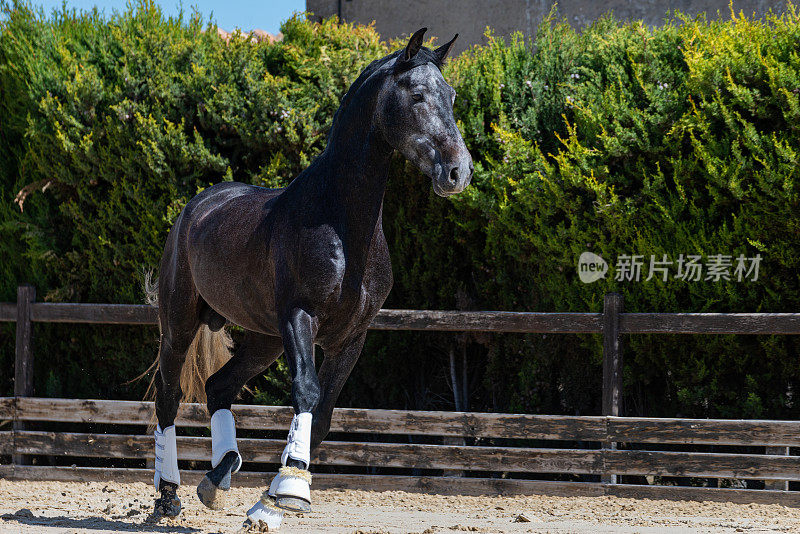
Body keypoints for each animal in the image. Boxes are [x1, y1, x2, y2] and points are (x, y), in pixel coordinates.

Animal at [147, 27, 472, 528]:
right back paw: (167, 497)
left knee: (219, 386)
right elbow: (306, 390)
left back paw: (218, 477)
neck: (342, 227)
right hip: (181, 322)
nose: (458, 171)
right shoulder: (300, 317)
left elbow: (322, 413)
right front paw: (292, 491)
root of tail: (195, 209)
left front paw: (271, 503)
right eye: (417, 95)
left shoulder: (350, 338)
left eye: (452, 96)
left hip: (264, 338)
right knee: (168, 394)